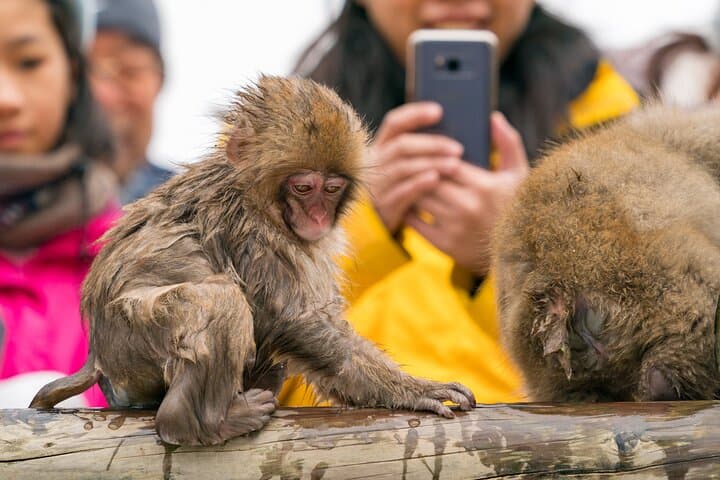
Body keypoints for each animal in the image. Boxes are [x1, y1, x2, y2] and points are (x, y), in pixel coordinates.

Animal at [29, 75, 475, 446]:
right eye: (303, 187)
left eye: (332, 189)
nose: (317, 217)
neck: (255, 195)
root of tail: (98, 357)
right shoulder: (253, 236)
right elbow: (300, 323)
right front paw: (413, 390)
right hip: (130, 341)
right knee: (218, 300)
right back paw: (197, 421)